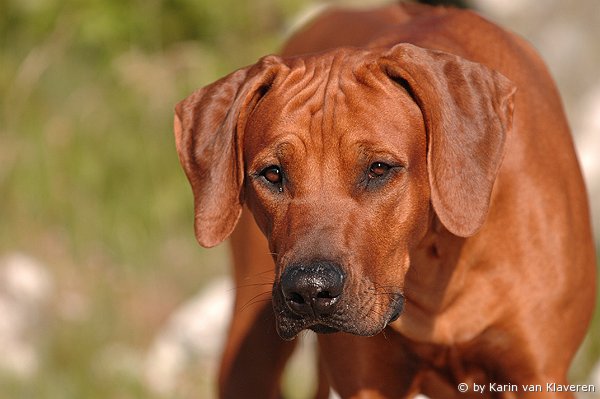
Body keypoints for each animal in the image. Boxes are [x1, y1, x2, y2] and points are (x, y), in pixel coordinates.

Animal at [173, 3, 596, 399]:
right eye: (272, 174)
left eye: (379, 168)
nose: (309, 290)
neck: (433, 264)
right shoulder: (366, 380)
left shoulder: (538, 375)